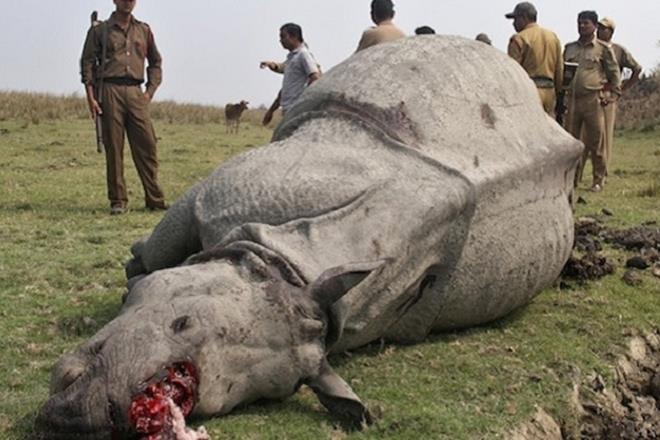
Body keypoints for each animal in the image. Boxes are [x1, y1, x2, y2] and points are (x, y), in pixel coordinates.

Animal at [38, 36, 582, 439]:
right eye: (181, 322)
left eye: (230, 396)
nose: (97, 409)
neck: (284, 264)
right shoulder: (217, 196)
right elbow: (151, 255)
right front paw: (128, 281)